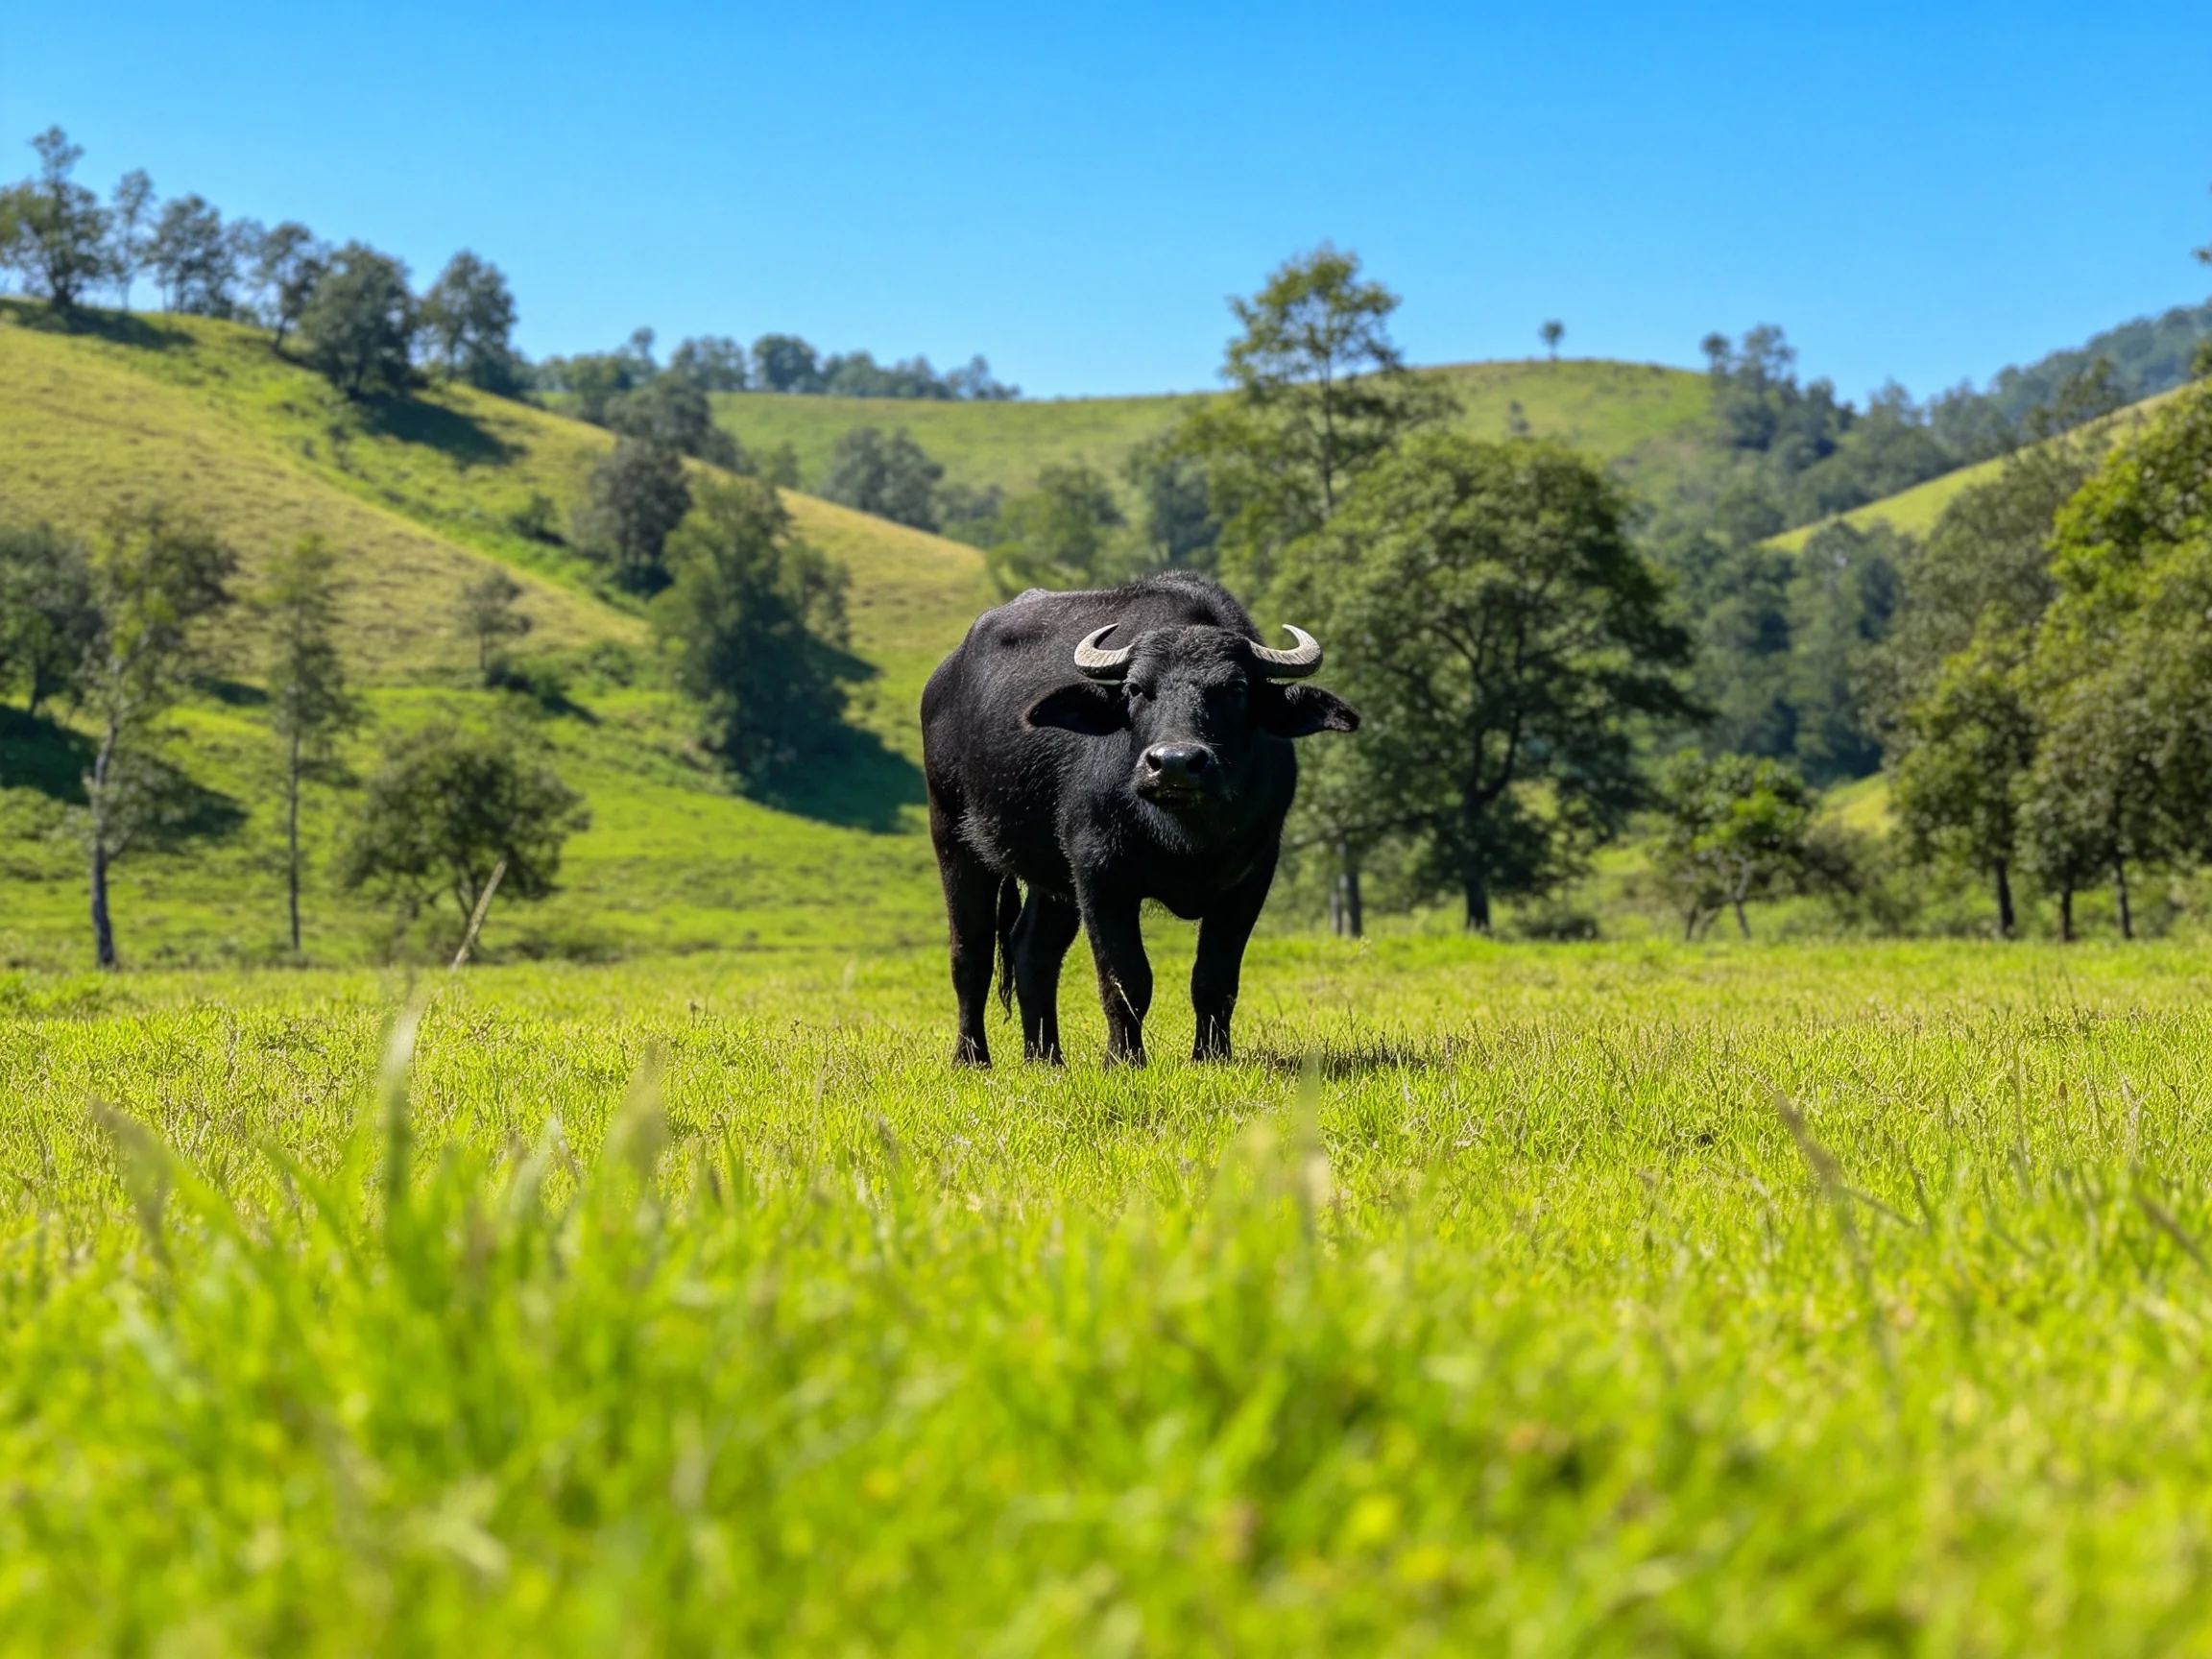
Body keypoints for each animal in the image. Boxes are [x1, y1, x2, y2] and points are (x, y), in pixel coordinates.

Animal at [920, 572, 1358, 1067]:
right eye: (1135, 689)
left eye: (1236, 689)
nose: (1174, 763)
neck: (1185, 833)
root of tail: (943, 680)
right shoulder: (1100, 872)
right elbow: (1126, 977)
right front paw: (1122, 1060)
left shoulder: (1252, 874)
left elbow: (1215, 978)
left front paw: (1211, 1056)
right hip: (953, 836)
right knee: (970, 954)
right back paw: (972, 1057)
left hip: (1052, 878)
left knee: (1031, 949)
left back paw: (1046, 1059)